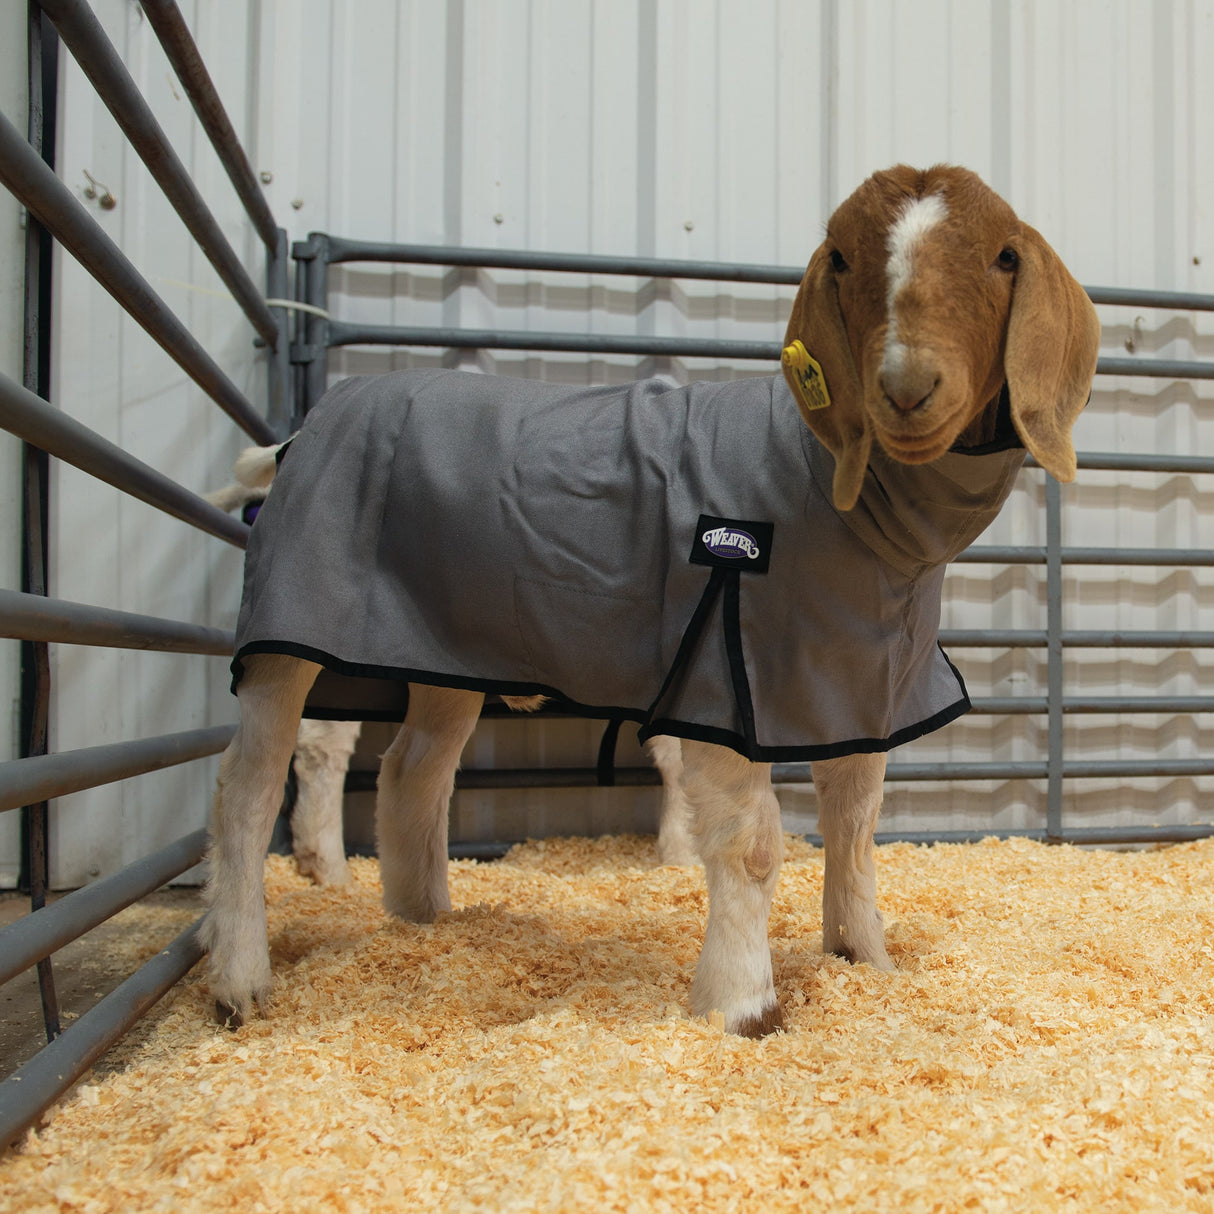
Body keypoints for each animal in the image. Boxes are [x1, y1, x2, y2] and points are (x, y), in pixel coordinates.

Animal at [201, 165, 1100, 1037]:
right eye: (841, 261)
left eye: (1003, 257)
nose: (906, 388)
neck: (832, 489)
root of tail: (301, 431)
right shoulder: (723, 675)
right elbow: (753, 844)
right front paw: (743, 1003)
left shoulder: (852, 685)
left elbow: (853, 831)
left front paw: (864, 962)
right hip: (293, 626)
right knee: (250, 785)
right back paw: (242, 975)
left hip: (445, 648)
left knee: (412, 771)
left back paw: (426, 925)